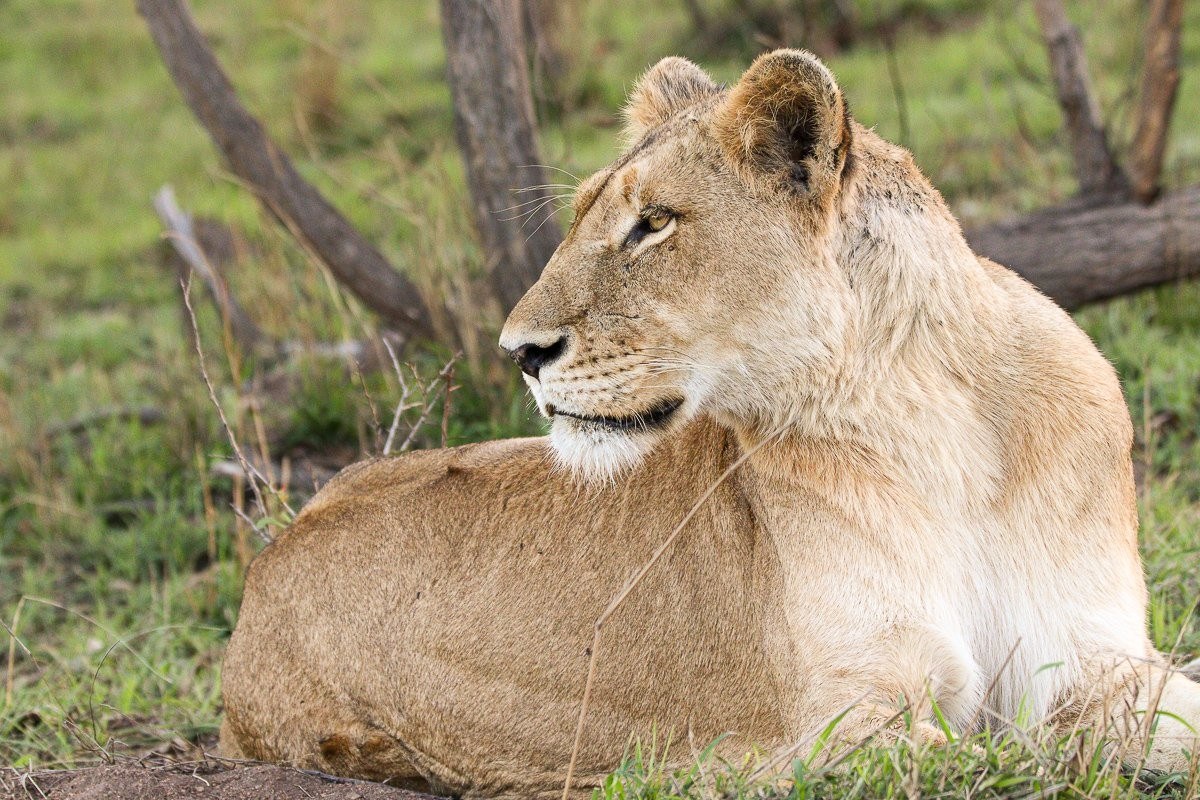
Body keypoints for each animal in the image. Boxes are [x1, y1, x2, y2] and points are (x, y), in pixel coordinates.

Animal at [219, 50, 1200, 797]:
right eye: (586, 215)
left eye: (653, 225)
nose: (518, 351)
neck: (933, 422)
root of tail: (268, 560)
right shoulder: (843, 726)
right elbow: (1015, 756)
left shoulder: (1097, 658)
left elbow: (1150, 719)